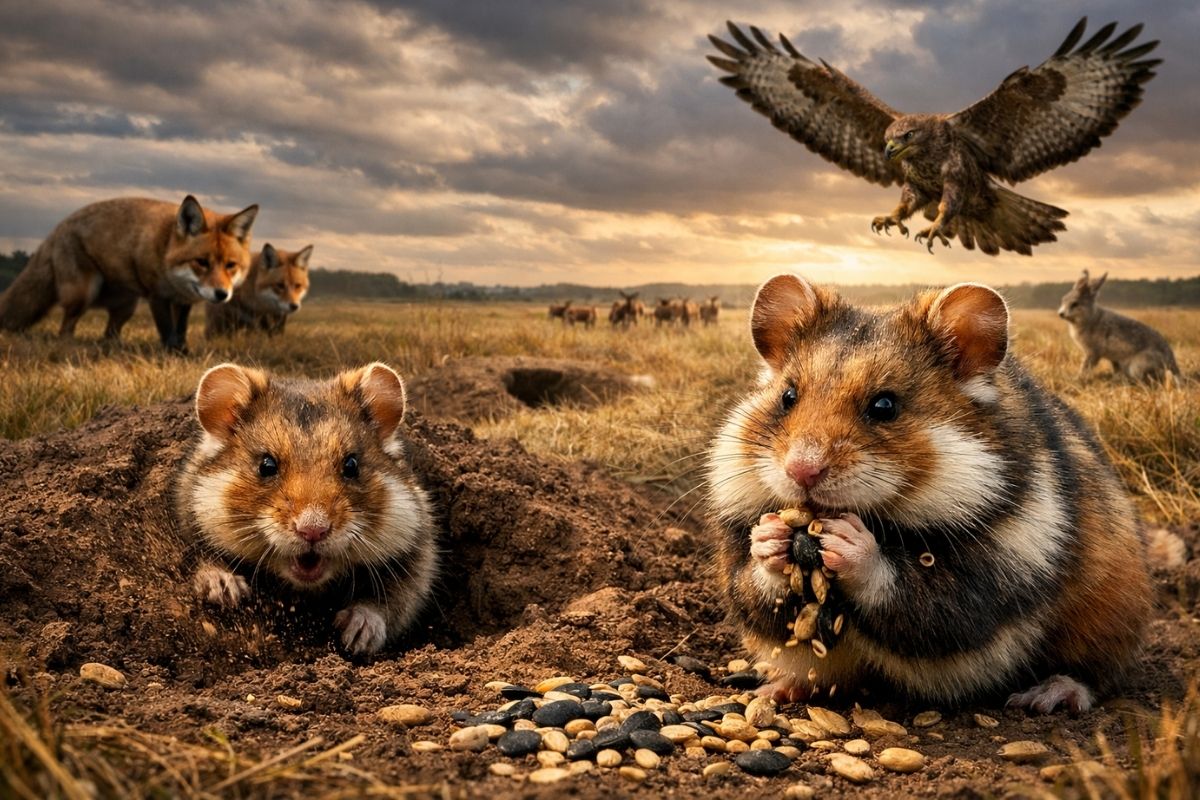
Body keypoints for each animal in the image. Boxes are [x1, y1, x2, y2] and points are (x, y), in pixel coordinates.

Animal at [175, 361, 437, 655]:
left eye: (352, 465)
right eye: (266, 465)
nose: (313, 530)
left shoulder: (419, 555)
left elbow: (394, 600)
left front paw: (357, 633)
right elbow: (201, 557)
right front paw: (225, 590)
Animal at [707, 273, 1152, 712]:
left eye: (885, 406)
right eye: (788, 397)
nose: (801, 470)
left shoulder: (991, 575)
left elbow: (910, 591)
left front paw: (848, 541)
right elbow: (752, 585)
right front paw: (770, 537)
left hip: (1110, 611)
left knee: (1095, 673)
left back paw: (1046, 696)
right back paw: (774, 689)